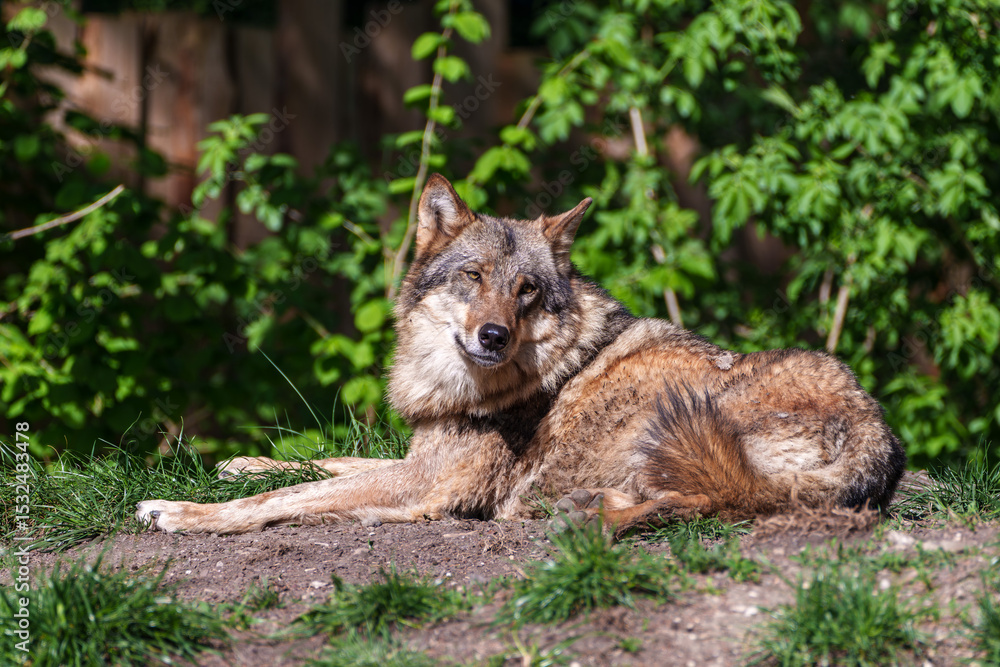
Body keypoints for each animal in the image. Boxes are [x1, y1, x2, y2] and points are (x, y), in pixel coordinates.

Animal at [136, 173, 906, 535]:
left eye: (527, 290)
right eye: (474, 278)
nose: (493, 336)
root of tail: (878, 443)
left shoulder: (430, 477)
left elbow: (288, 495)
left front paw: (183, 512)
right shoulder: (421, 456)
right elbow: (320, 461)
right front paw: (235, 462)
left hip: (675, 421)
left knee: (704, 500)